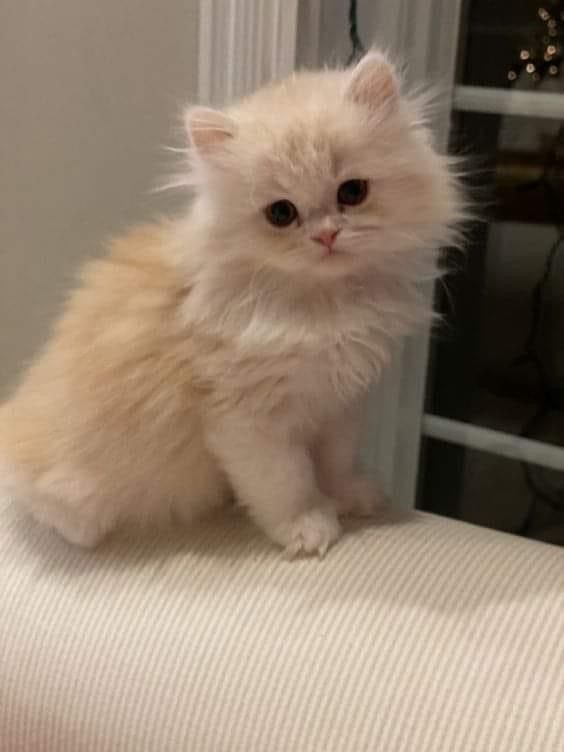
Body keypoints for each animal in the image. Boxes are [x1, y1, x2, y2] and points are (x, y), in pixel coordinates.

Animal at [0, 50, 462, 556]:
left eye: (352, 192)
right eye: (281, 214)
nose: (326, 236)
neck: (321, 303)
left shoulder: (338, 404)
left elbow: (335, 463)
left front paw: (351, 498)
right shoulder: (249, 419)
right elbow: (286, 480)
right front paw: (308, 528)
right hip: (67, 486)